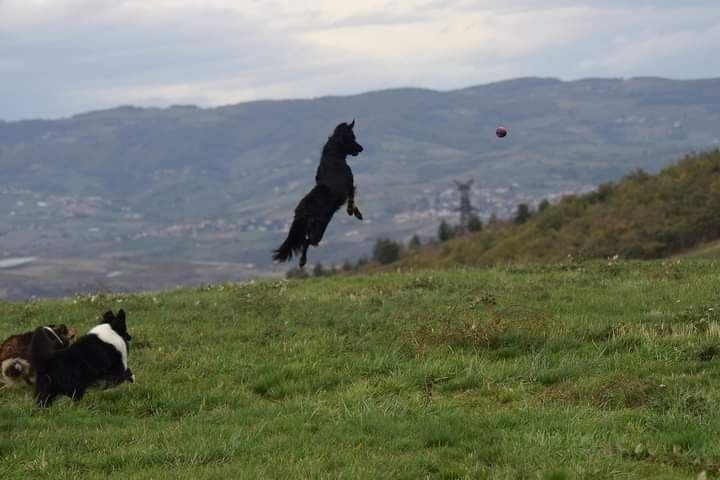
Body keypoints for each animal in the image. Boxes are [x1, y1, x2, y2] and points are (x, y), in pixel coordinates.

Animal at [270, 119, 362, 266]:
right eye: (352, 137)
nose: (361, 148)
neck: (334, 158)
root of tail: (302, 212)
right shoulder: (349, 185)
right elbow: (352, 197)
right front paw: (354, 213)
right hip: (318, 230)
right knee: (307, 241)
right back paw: (302, 261)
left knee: (303, 240)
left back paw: (301, 261)